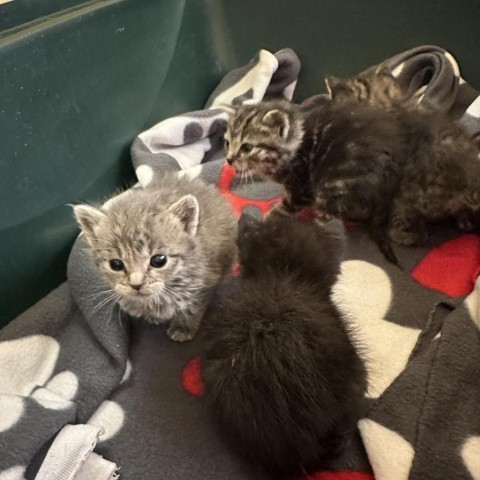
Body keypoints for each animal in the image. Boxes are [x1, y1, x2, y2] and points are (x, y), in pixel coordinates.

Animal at [74, 172, 237, 342]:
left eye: (159, 261)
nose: (136, 285)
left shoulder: (203, 282)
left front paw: (183, 328)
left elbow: (192, 307)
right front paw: (153, 316)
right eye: (116, 264)